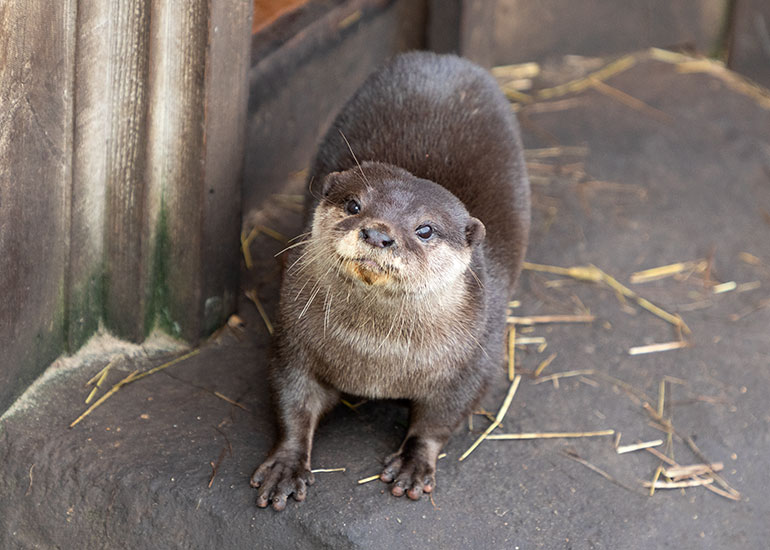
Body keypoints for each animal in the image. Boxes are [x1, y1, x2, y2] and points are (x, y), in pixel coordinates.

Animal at [251, 51, 530, 510]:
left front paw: (414, 463)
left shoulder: (475, 359)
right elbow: (293, 397)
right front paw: (287, 465)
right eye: (353, 204)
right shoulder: (293, 336)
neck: (377, 356)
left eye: (425, 229)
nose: (379, 234)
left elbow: (442, 417)